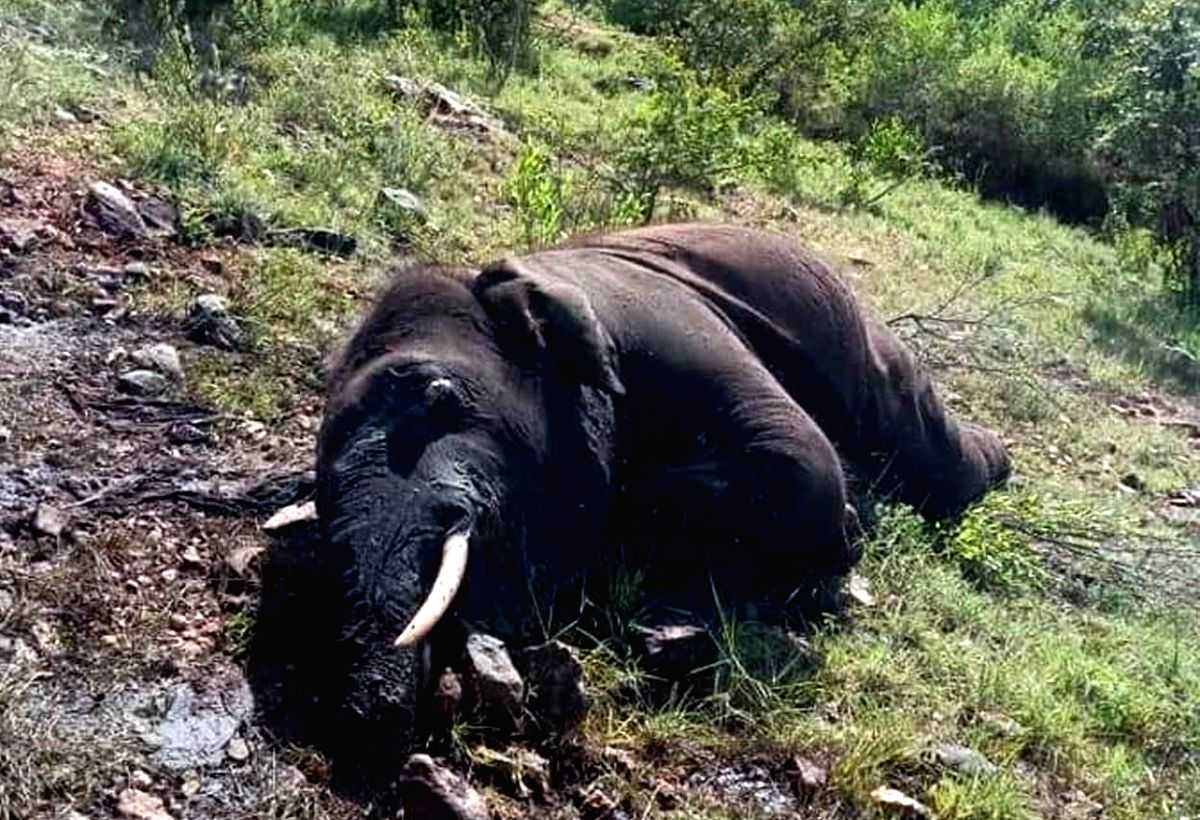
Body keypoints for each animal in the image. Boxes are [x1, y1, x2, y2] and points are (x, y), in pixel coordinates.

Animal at [315, 222, 1010, 754]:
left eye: (441, 397)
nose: (368, 726)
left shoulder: (668, 325)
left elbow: (801, 456)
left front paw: (846, 532)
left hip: (867, 352)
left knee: (929, 452)